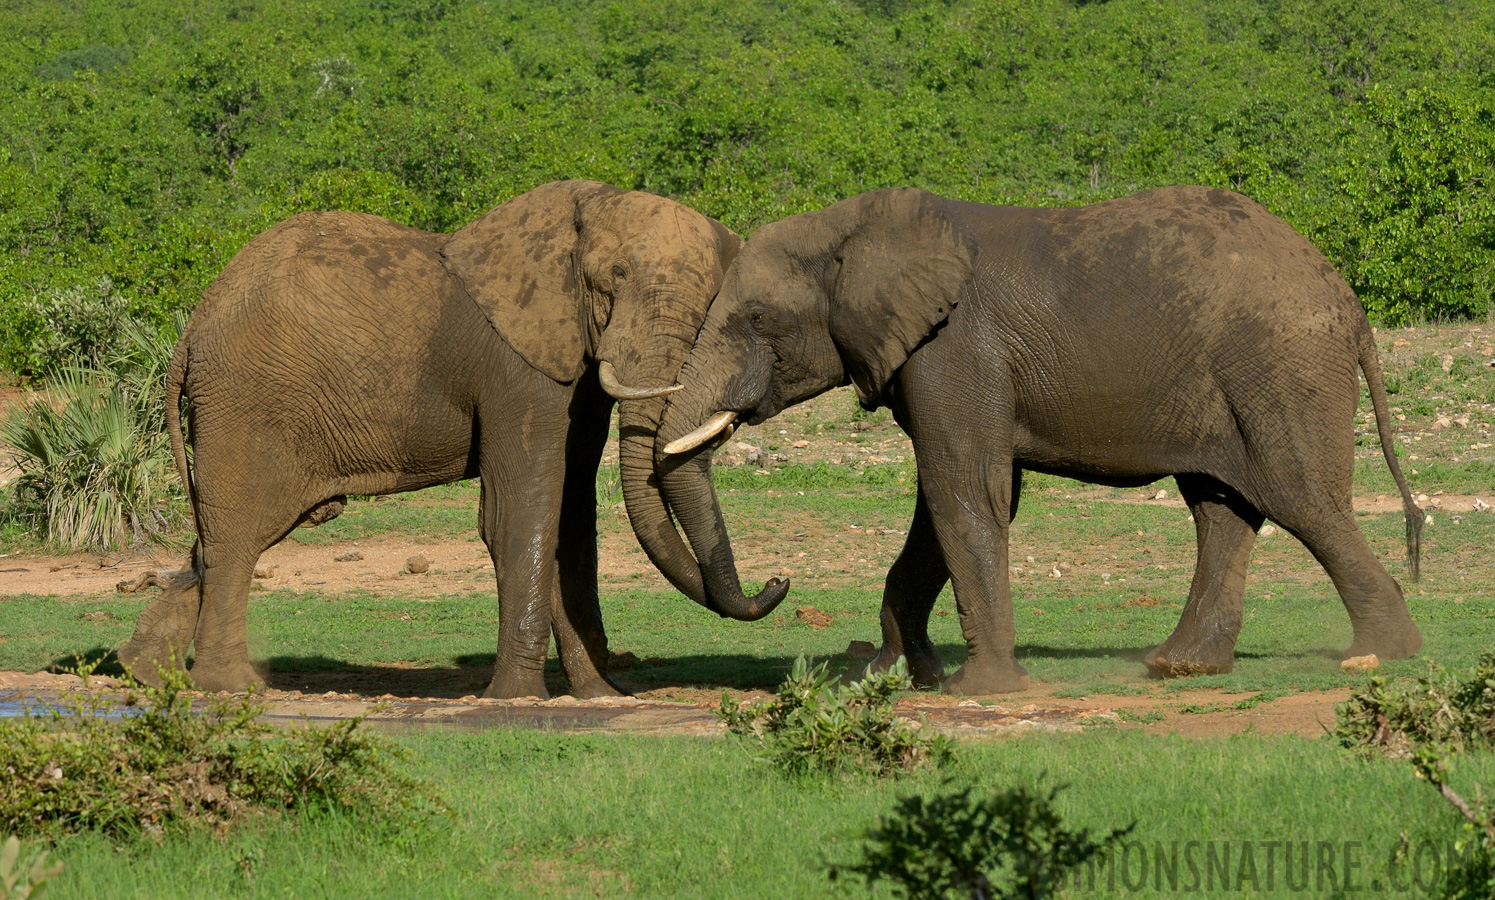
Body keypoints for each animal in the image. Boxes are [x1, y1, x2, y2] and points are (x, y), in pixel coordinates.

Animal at [118, 178, 789, 696]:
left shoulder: (570, 370)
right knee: (237, 538)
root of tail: (191, 330)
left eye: (715, 303)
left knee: (226, 536)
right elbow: (524, 513)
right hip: (245, 404)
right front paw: (518, 699)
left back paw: (146, 673)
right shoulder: (516, 367)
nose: (778, 581)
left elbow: (569, 514)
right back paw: (230, 688)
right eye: (612, 277)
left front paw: (600, 697)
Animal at [657, 183, 1423, 693]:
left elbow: (964, 489)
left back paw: (1383, 654)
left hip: (1280, 368)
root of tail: (1348, 299)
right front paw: (890, 678)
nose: (779, 579)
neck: (853, 226)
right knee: (1221, 509)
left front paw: (979, 692)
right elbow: (948, 501)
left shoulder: (955, 347)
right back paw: (1179, 665)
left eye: (757, 318)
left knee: (1300, 499)